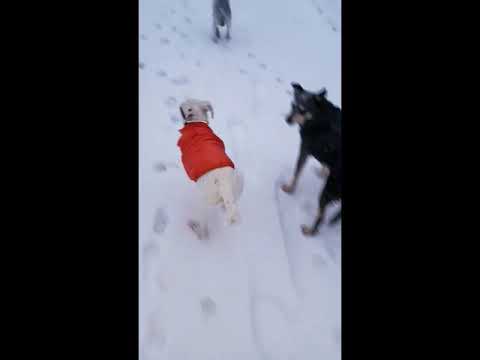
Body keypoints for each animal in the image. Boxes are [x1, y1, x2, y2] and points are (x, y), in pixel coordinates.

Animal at [282, 82, 342, 235]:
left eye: (302, 110)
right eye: (292, 105)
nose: (287, 120)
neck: (318, 116)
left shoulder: (304, 149)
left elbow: (297, 172)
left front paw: (290, 188)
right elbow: (325, 165)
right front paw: (322, 172)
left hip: (328, 190)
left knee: (321, 216)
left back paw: (309, 230)